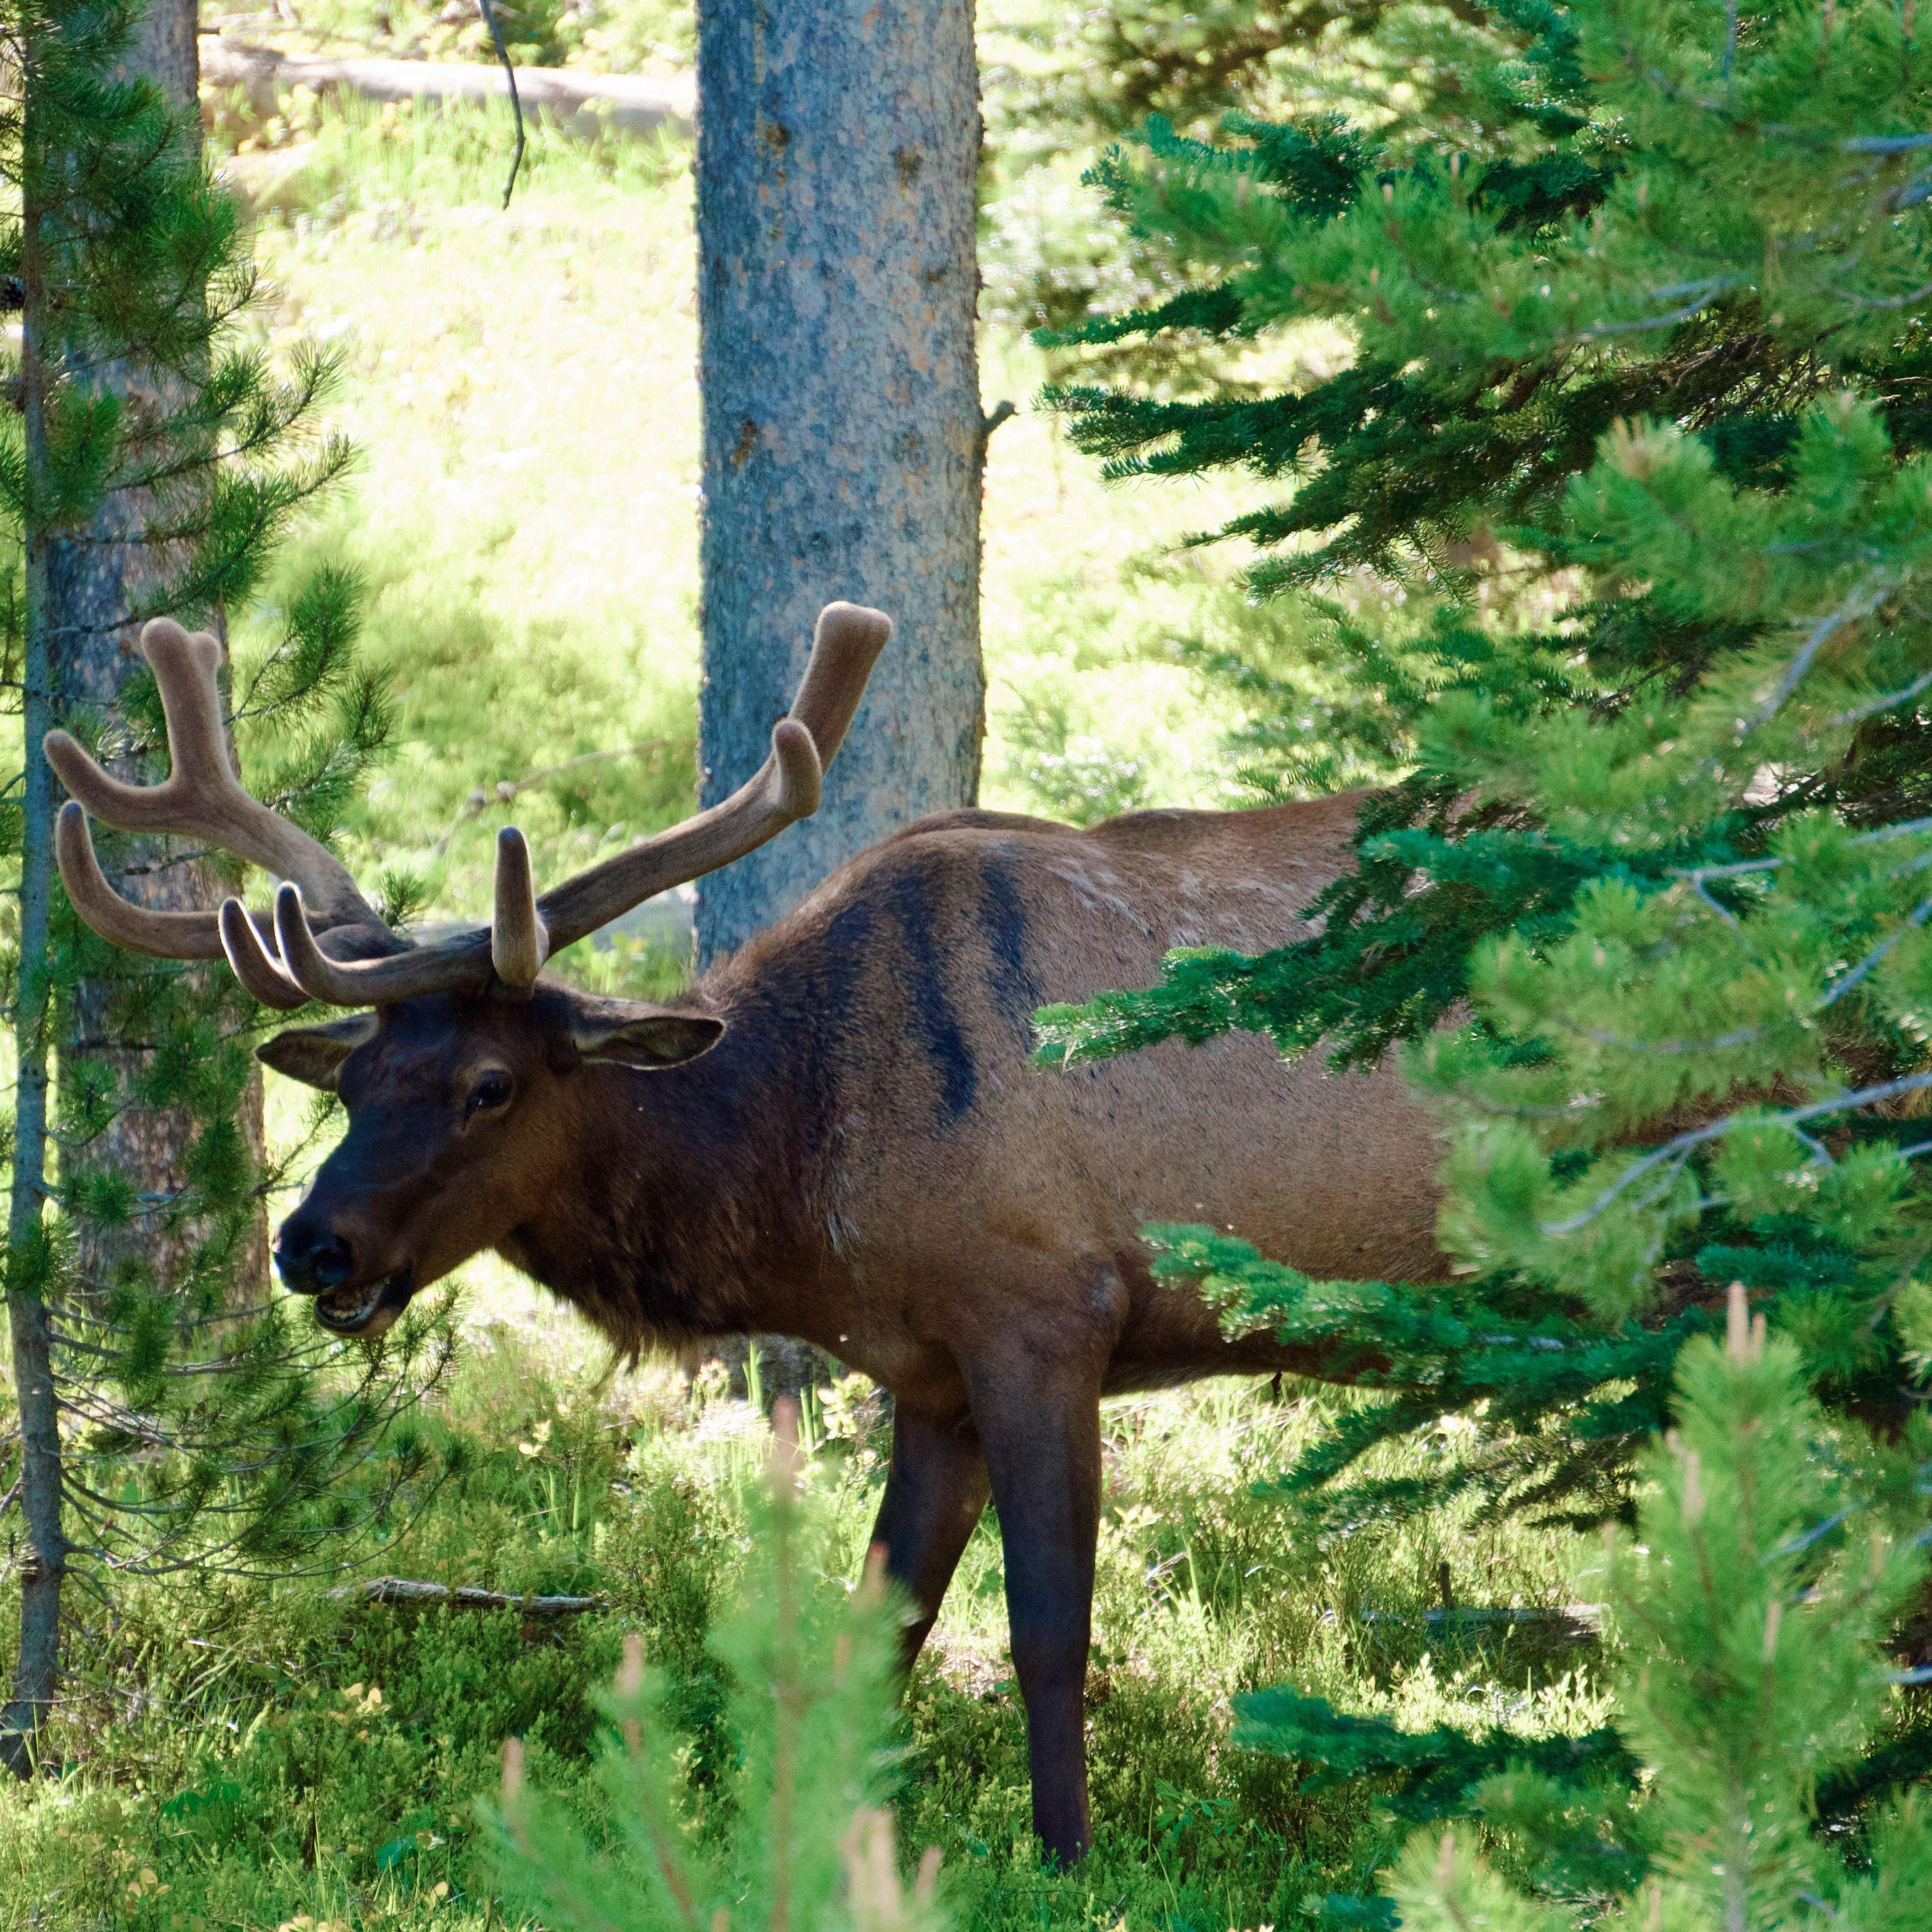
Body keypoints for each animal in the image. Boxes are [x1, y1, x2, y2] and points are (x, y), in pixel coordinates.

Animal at [46, 604, 1446, 1865]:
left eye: (490, 1084)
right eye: (348, 1080)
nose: (314, 1246)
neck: (807, 1179)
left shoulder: (1044, 1312)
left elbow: (1048, 1628)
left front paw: (1067, 1858)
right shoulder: (932, 1370)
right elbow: (884, 1623)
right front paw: (833, 1828)